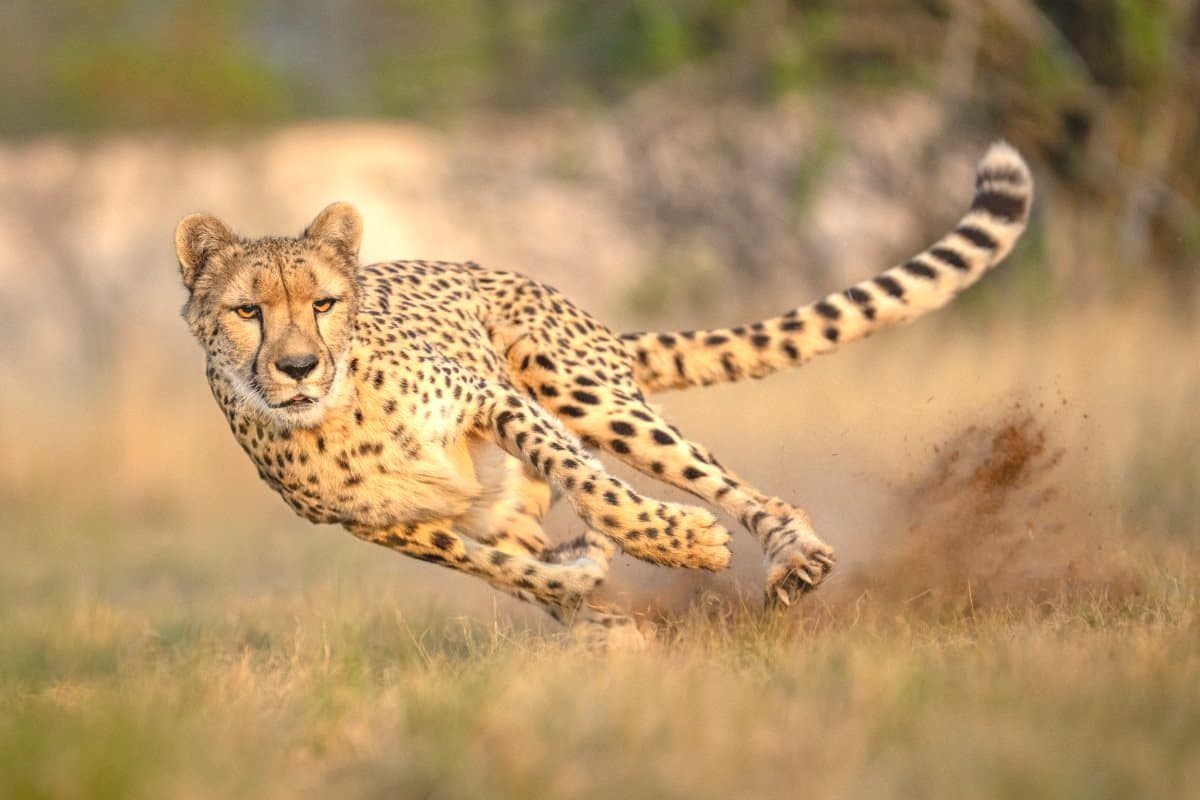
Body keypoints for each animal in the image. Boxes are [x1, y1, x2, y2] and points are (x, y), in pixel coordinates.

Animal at [175, 141, 1032, 646]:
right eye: (248, 311)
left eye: (323, 303)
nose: (297, 367)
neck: (339, 413)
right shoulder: (392, 528)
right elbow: (510, 571)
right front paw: (592, 598)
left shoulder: (498, 402)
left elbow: (597, 490)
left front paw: (677, 542)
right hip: (507, 490)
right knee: (525, 545)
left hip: (578, 384)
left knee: (731, 486)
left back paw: (791, 554)